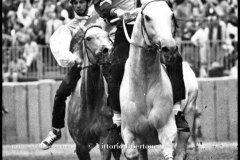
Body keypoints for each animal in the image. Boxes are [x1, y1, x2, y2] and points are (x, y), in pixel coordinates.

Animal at [66, 25, 121, 160]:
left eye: (107, 35)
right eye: (88, 38)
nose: (108, 51)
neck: (90, 103)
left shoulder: (105, 139)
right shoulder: (80, 145)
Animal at [119, 0, 198, 159]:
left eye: (172, 15)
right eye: (147, 17)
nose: (170, 49)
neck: (144, 85)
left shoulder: (166, 129)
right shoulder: (129, 132)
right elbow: (131, 152)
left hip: (190, 110)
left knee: (181, 149)